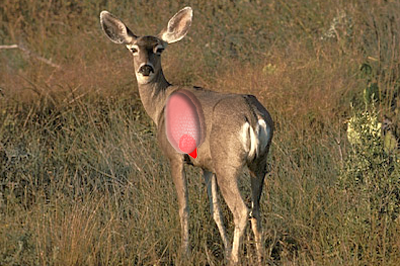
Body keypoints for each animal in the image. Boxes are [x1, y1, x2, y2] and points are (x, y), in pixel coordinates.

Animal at [100, 6, 276, 264]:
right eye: (133, 49)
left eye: (159, 49)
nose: (145, 69)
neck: (159, 105)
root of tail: (252, 115)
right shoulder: (206, 165)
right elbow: (215, 210)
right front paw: (223, 248)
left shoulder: (175, 156)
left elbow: (184, 207)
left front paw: (185, 252)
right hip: (259, 161)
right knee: (256, 208)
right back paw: (260, 256)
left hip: (228, 163)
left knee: (242, 211)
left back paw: (235, 258)